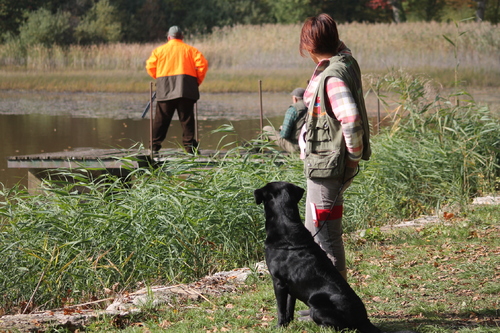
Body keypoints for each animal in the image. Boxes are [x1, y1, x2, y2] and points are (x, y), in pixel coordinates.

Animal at [256, 182, 416, 332]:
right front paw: (287, 325)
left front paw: (279, 326)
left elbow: (281, 309)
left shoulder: (279, 282)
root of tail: (363, 320)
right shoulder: (291, 286)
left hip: (316, 303)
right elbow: (289, 308)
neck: (286, 229)